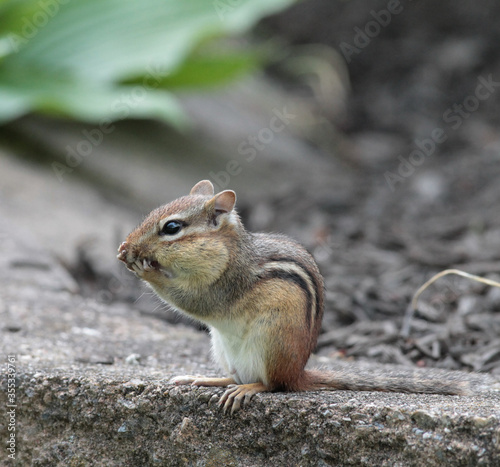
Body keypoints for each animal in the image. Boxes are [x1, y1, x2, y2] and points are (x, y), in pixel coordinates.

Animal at [117, 180, 493, 414]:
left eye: (172, 228)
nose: (128, 246)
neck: (231, 251)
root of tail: (299, 372)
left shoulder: (225, 283)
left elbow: (194, 301)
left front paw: (143, 268)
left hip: (271, 341)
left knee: (272, 384)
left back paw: (248, 389)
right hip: (222, 347)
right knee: (237, 374)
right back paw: (207, 378)